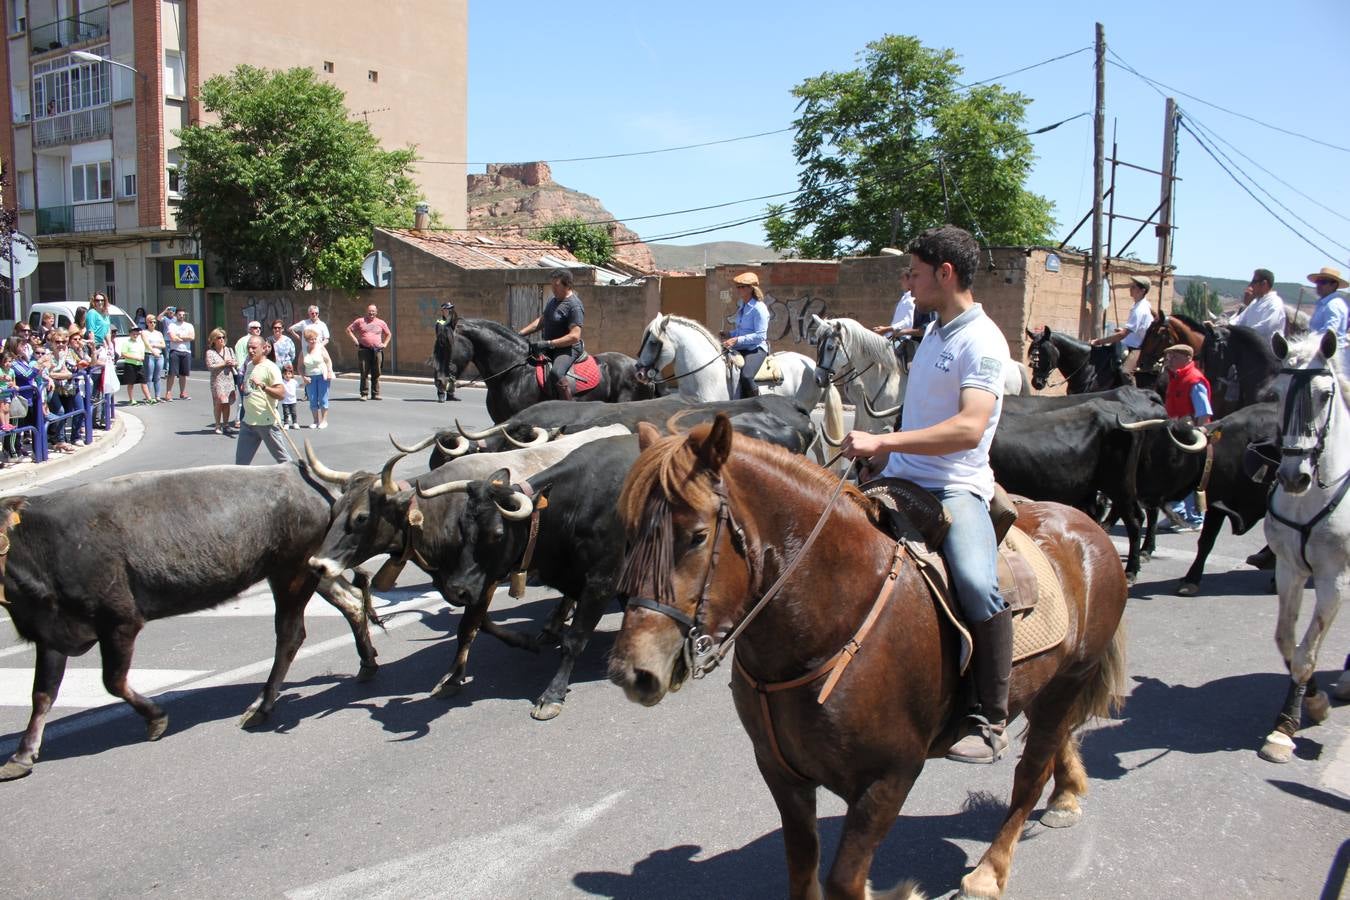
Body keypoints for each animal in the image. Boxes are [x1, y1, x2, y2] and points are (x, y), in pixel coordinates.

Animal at [0, 464, 380, 782]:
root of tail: (301, 475)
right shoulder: (51, 634)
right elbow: (42, 694)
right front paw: (21, 755)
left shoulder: (119, 621)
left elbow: (113, 681)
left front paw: (156, 718)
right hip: (314, 570)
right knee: (351, 600)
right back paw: (366, 663)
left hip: (291, 575)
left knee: (290, 634)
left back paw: (261, 705)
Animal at [612, 418, 1128, 900]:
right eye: (630, 533)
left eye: (698, 536)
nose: (632, 671)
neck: (835, 622)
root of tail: (1084, 524)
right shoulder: (781, 773)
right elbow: (802, 869)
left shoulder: (888, 779)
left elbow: (844, 881)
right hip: (1050, 687)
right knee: (1057, 739)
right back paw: (1066, 795)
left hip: (1069, 681)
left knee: (1030, 772)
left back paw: (989, 871)